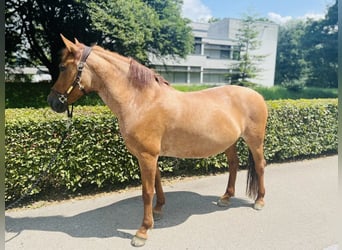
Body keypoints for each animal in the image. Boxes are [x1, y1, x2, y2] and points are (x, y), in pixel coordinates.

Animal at [47, 34, 268, 246]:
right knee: (233, 164)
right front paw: (159, 209)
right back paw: (226, 197)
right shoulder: (149, 156)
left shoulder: (147, 155)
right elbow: (157, 182)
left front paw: (143, 231)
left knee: (260, 166)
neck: (141, 102)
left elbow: (146, 191)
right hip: (230, 142)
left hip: (255, 141)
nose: (52, 102)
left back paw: (259, 201)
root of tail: (257, 94)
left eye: (63, 67)